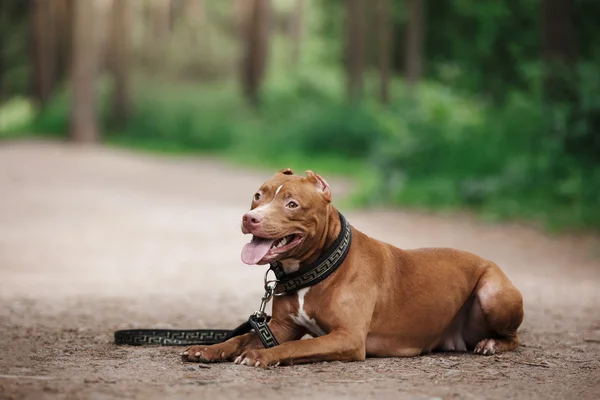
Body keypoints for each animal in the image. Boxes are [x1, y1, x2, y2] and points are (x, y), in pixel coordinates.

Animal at [180, 167, 524, 368]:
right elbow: (243, 336)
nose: (250, 218)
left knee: (514, 337)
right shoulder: (280, 328)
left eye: (292, 204)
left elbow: (298, 347)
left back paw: (491, 343)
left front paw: (262, 355)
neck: (318, 268)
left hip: (493, 292)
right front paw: (210, 348)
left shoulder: (348, 337)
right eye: (257, 196)